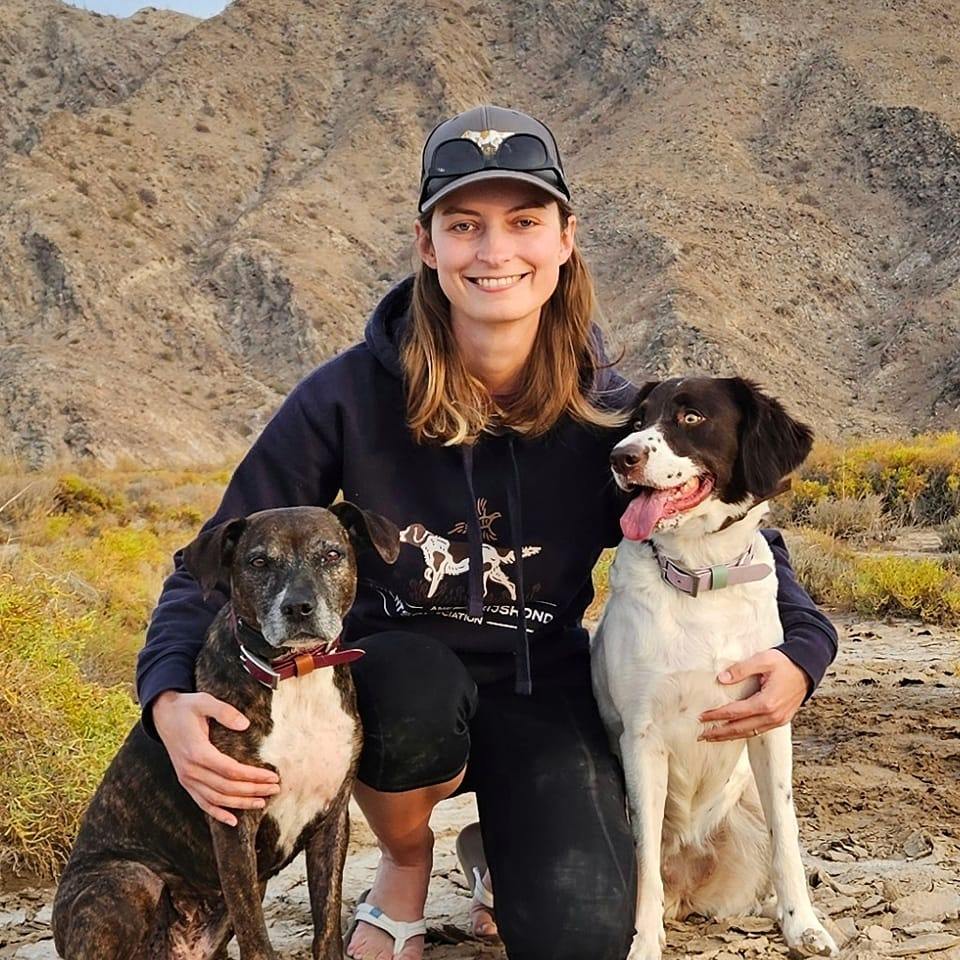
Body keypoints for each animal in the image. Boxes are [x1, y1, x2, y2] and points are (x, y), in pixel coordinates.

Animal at [52, 503, 399, 960]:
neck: (295, 676)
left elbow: (326, 927)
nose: (298, 608)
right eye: (258, 562)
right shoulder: (234, 822)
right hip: (127, 880)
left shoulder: (331, 821)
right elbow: (256, 936)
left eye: (331, 555)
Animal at [590, 377, 838, 960]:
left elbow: (787, 834)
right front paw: (643, 942)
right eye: (640, 418)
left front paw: (802, 923)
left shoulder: (770, 724)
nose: (620, 457)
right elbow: (643, 860)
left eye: (692, 418)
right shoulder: (642, 738)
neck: (702, 574)